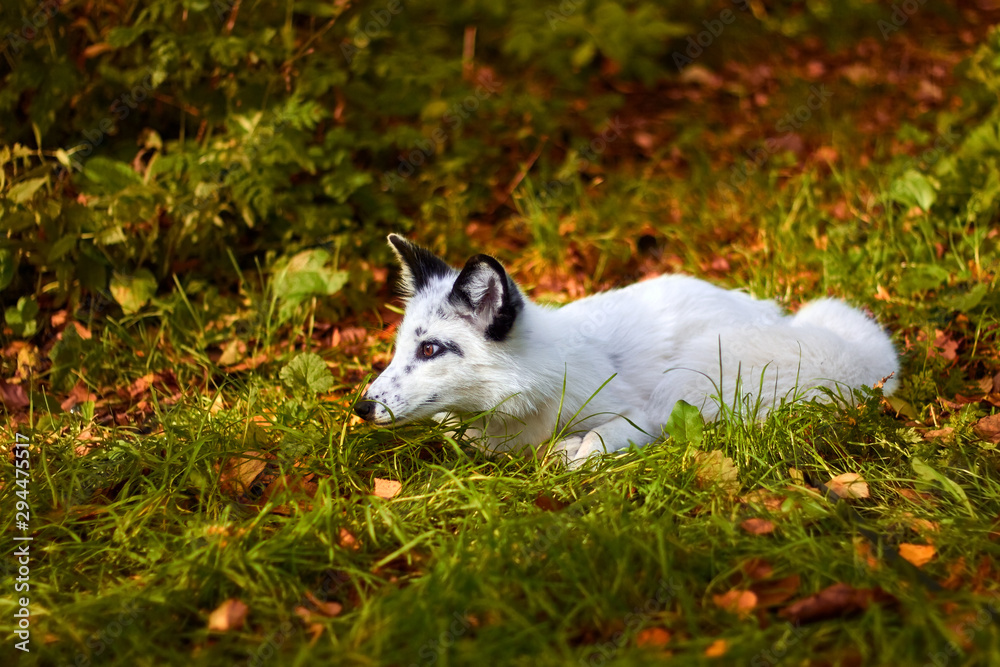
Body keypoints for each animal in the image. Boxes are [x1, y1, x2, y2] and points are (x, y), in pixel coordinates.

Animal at [356, 237, 904, 468]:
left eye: (431, 348)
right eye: (400, 348)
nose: (361, 407)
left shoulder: (636, 413)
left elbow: (594, 447)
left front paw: (572, 453)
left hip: (687, 383)